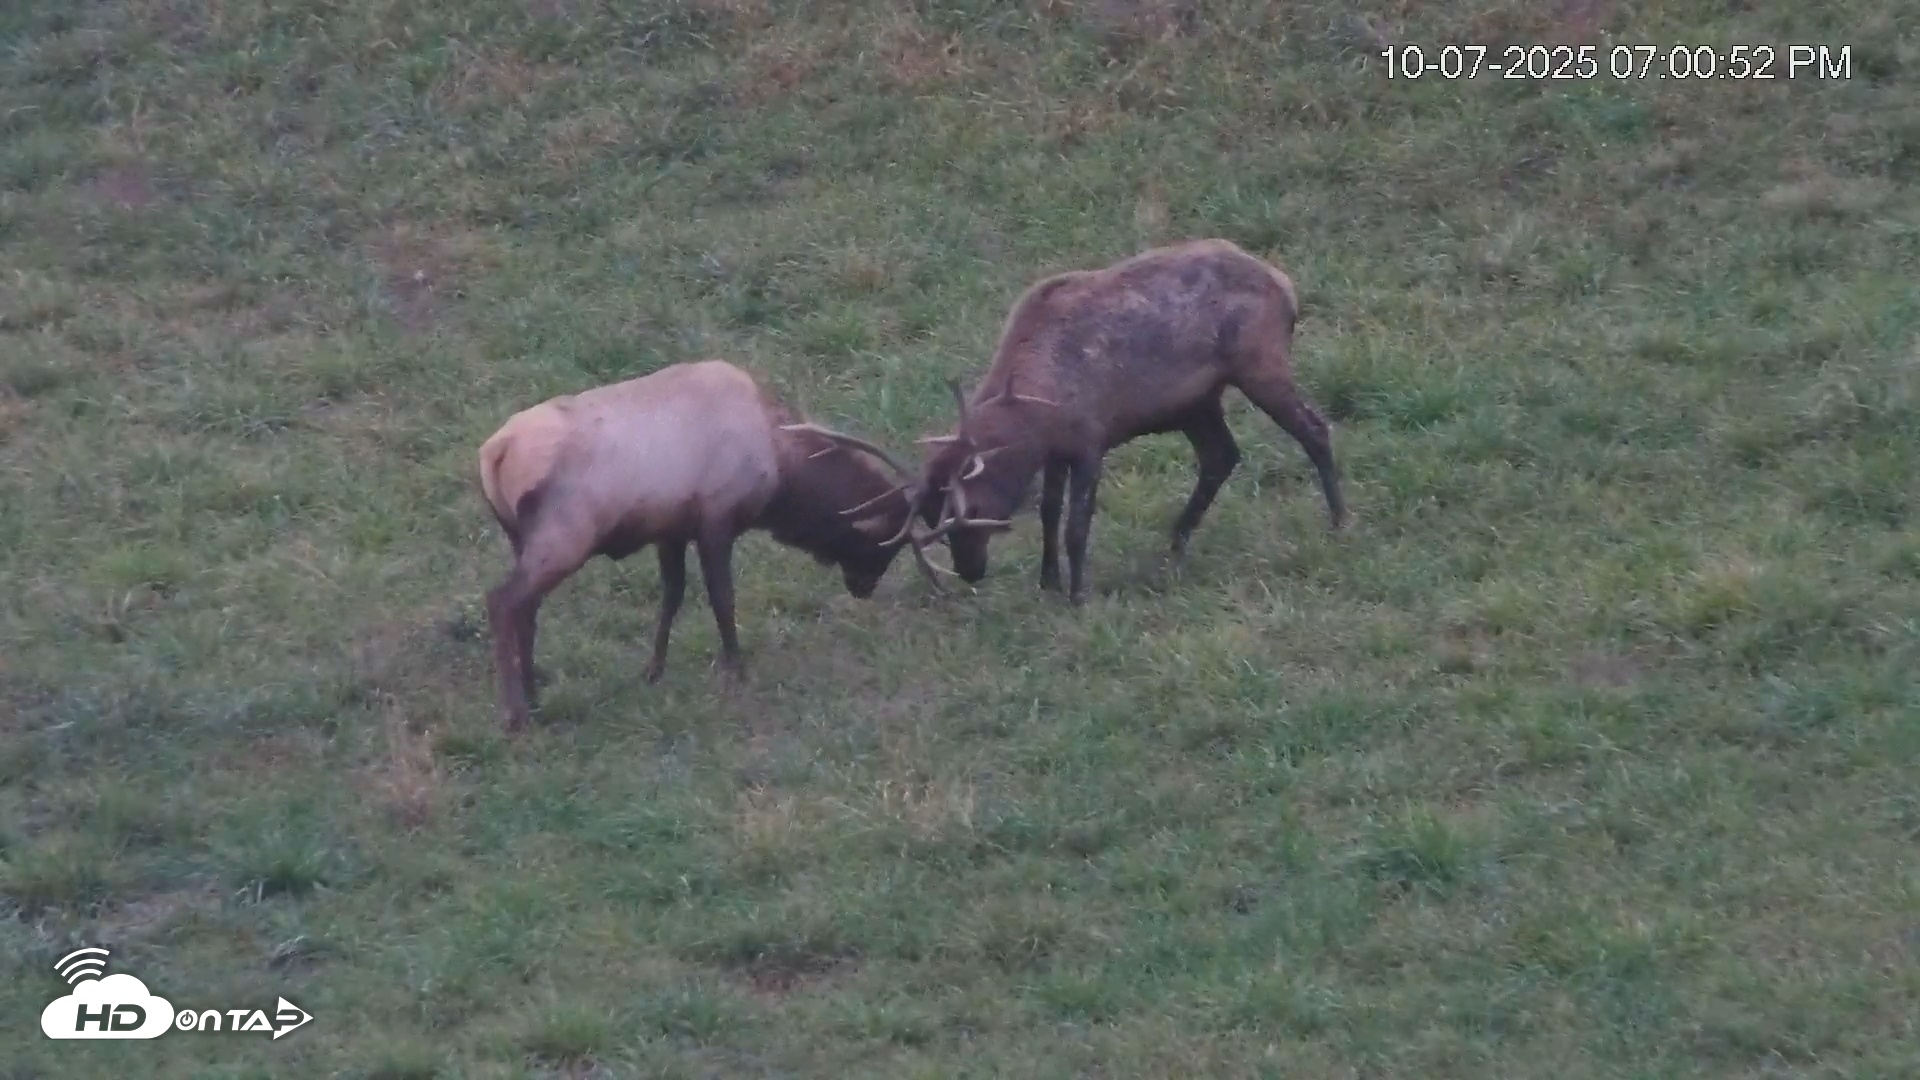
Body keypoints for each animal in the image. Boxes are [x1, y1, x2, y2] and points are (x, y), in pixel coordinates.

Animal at [476, 359, 942, 733]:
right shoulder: (717, 518)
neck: (780, 470)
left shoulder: (671, 529)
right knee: (503, 600)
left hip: (523, 540)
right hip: (565, 537)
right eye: (885, 544)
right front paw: (736, 671)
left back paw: (535, 695)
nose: (864, 587)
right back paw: (515, 714)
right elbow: (722, 597)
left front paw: (654, 670)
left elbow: (673, 595)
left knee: (527, 609)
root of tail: (494, 453)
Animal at [874, 238, 1346, 604]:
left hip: (1259, 364)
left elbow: (1076, 526)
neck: (1037, 410)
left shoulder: (1089, 441)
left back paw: (1339, 522)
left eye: (969, 513)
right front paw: (1048, 581)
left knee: (1314, 429)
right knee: (1221, 455)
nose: (970, 572)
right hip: (1197, 402)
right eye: (932, 521)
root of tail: (1286, 287)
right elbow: (1048, 512)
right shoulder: (1057, 452)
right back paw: (1174, 544)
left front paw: (1077, 595)